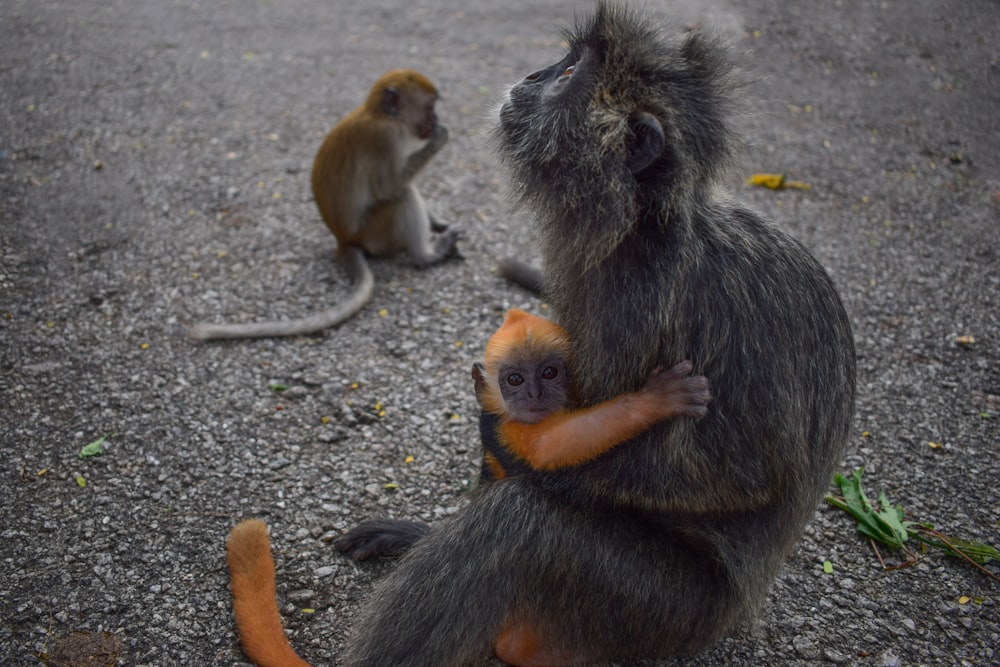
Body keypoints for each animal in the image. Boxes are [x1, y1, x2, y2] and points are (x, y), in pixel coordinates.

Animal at [189, 69, 458, 340]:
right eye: (429, 107)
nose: (436, 119)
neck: (381, 116)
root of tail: (344, 240)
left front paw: (437, 221)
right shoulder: (385, 140)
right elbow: (391, 187)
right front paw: (439, 137)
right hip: (376, 235)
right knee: (403, 197)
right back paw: (427, 256)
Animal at [227, 2, 860, 664]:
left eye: (570, 71)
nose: (533, 75)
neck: (644, 222)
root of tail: (735, 614)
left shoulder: (637, 295)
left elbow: (740, 474)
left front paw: (512, 448)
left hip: (659, 612)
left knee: (521, 524)